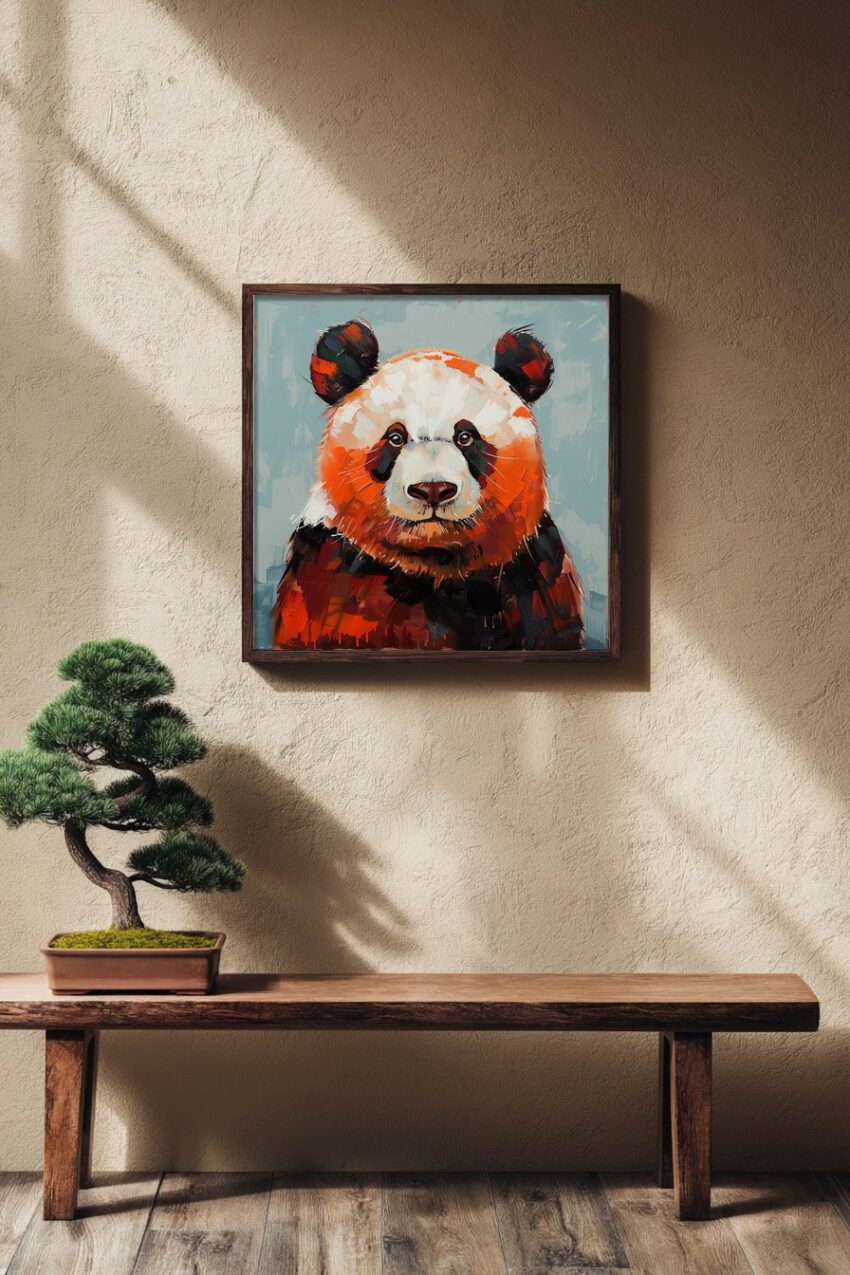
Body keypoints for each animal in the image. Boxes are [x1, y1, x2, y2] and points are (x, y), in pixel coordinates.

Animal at [272, 319, 584, 651]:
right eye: (395, 437)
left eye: (466, 437)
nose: (433, 490)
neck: (431, 562)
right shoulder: (329, 570)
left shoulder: (531, 573)